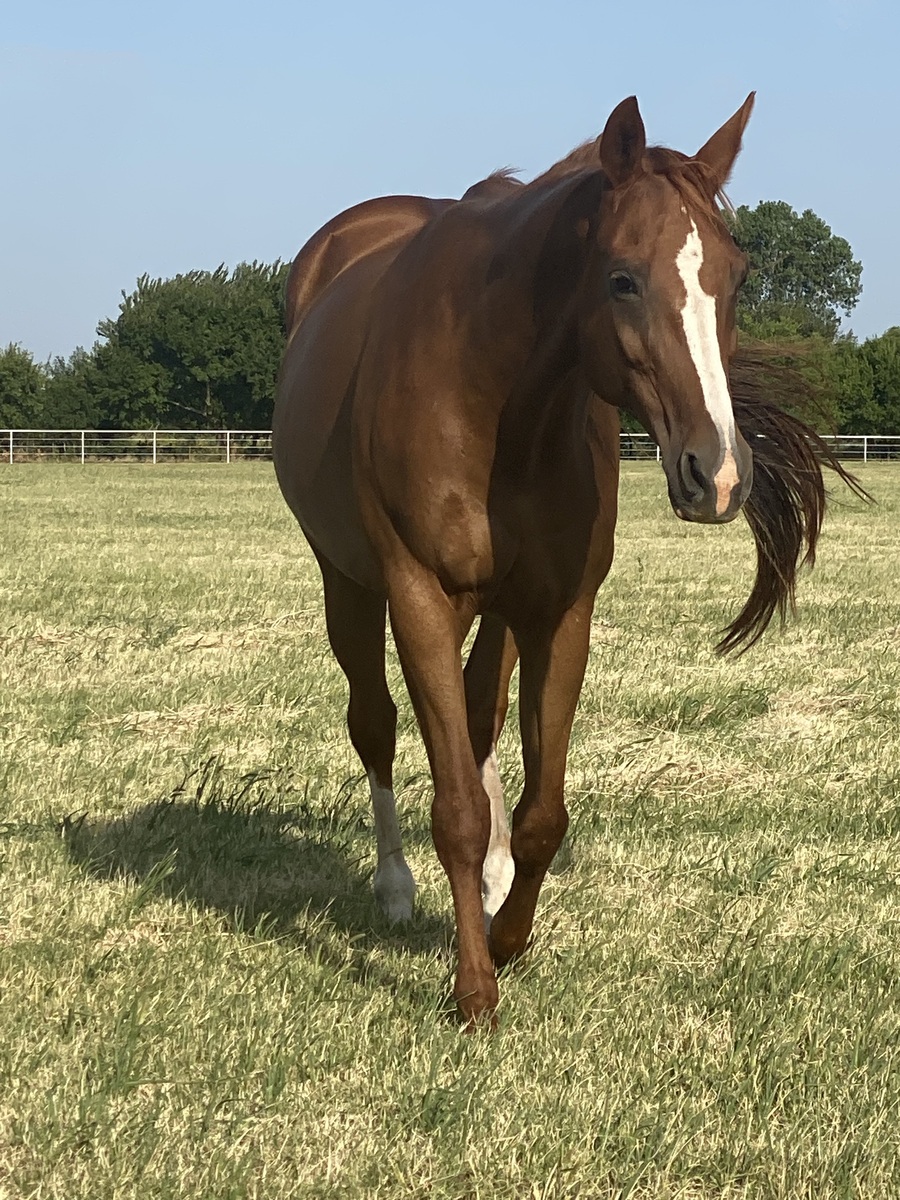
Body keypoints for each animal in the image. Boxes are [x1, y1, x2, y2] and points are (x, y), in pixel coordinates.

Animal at [273, 94, 852, 1025]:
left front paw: (507, 934)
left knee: (479, 718)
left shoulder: (559, 613)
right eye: (622, 278)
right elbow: (455, 809)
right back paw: (395, 886)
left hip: (501, 612)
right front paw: (473, 991)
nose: (719, 473)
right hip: (349, 586)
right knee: (376, 724)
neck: (493, 395)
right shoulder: (420, 599)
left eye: (737, 276)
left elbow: (540, 809)